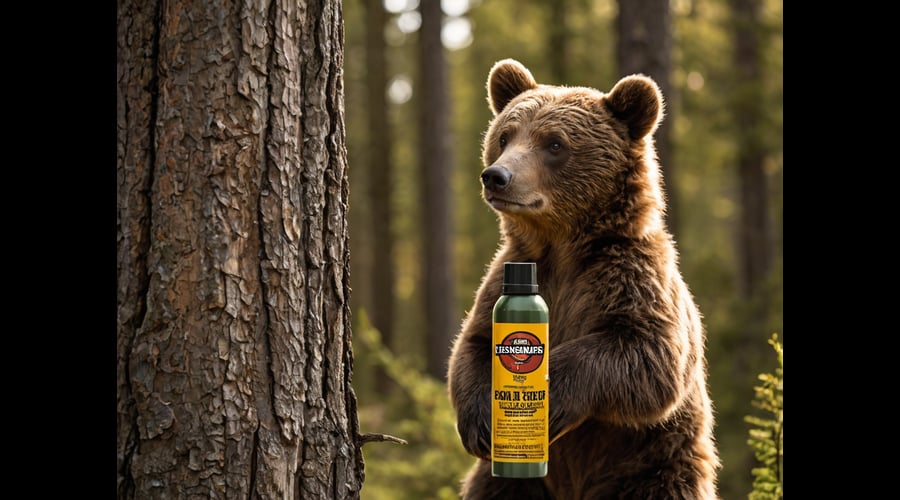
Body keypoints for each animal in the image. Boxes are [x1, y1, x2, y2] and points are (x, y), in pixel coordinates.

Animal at [446, 59, 720, 499]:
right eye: (505, 136)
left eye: (555, 144)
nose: (496, 176)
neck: (562, 246)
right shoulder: (505, 276)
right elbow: (472, 345)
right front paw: (480, 421)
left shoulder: (631, 277)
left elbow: (649, 353)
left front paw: (548, 399)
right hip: (509, 484)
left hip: (654, 465)